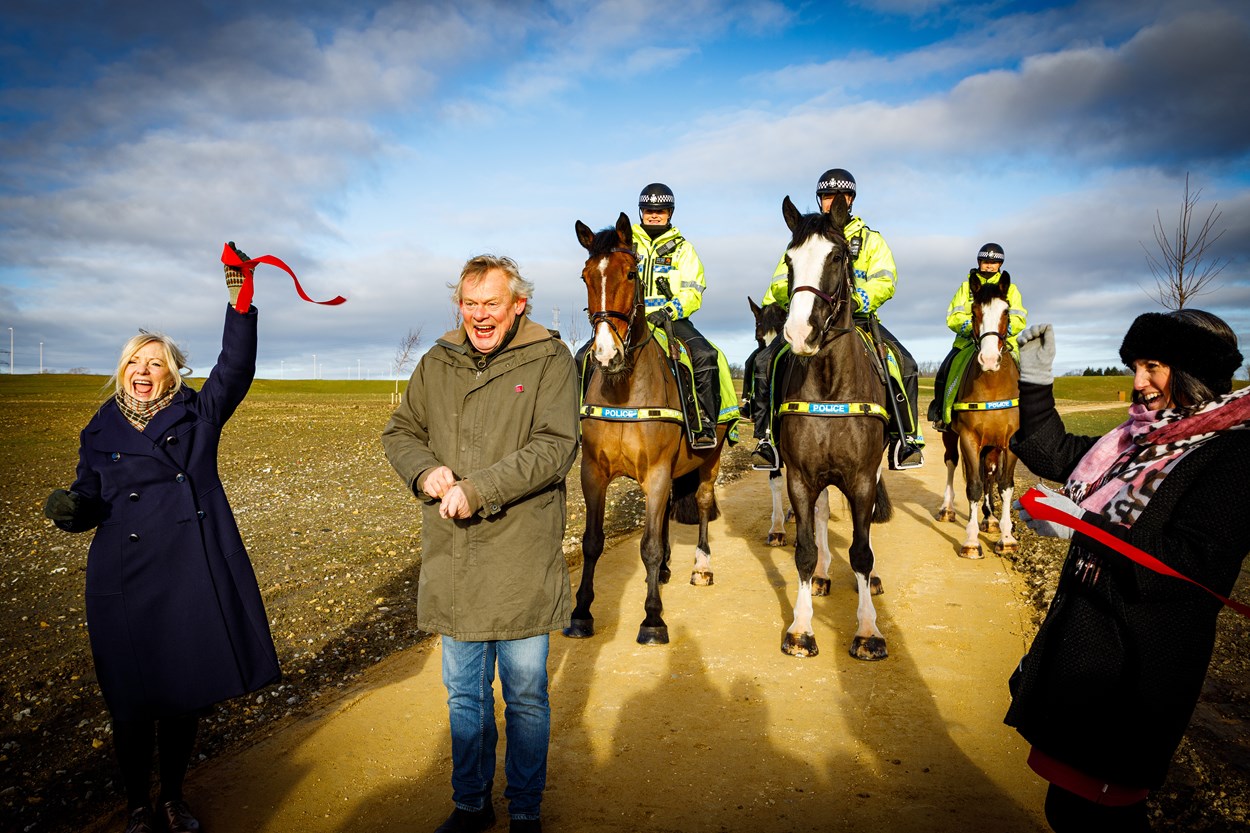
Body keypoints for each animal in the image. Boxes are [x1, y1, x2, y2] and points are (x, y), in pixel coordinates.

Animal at [570, 208, 730, 640]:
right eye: (586, 276)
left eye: (630, 274)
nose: (606, 354)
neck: (624, 388)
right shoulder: (593, 472)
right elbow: (593, 541)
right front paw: (581, 612)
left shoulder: (656, 473)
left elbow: (650, 545)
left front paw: (653, 617)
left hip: (709, 461)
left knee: (703, 504)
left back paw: (701, 567)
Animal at [775, 191, 895, 660]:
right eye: (789, 260)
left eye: (839, 255)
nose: (799, 333)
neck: (829, 383)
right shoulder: (801, 477)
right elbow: (806, 551)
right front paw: (801, 628)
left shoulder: (861, 479)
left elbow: (861, 554)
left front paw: (868, 631)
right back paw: (826, 574)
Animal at [935, 273, 1020, 557]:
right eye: (974, 312)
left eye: (1006, 311)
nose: (990, 359)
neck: (993, 385)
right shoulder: (969, 438)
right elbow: (973, 485)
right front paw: (971, 542)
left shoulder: (1010, 441)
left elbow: (1004, 485)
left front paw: (1006, 537)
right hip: (951, 437)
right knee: (951, 462)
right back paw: (947, 508)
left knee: (989, 474)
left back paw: (990, 518)